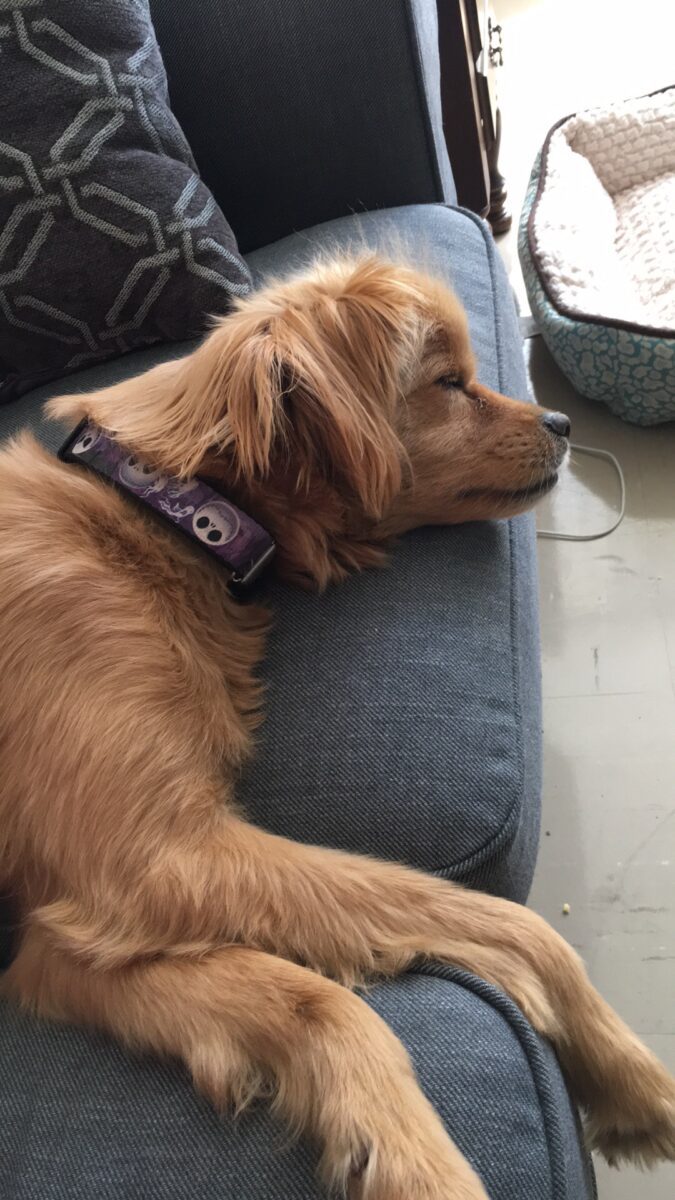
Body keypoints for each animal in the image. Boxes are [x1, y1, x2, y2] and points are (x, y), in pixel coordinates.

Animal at [0, 256, 673, 1200]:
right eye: (447, 383)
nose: (561, 421)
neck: (162, 509)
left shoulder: (62, 937)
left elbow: (315, 998)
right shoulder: (154, 856)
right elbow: (508, 923)